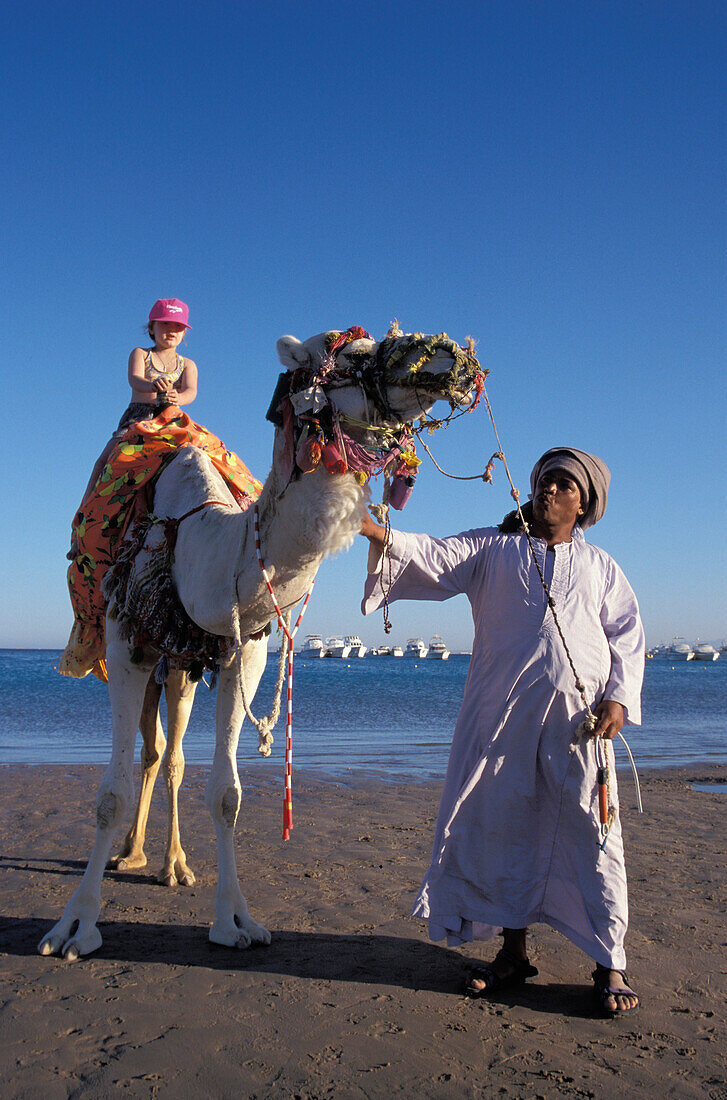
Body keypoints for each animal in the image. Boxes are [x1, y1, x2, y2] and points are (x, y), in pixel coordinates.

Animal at [39, 321, 481, 959]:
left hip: (181, 665)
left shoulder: (241, 648)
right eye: (354, 355)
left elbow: (227, 792)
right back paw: (131, 855)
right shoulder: (125, 643)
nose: (455, 357)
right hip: (147, 651)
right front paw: (75, 926)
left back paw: (169, 864)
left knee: (169, 756)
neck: (206, 543)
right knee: (151, 751)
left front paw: (235, 921)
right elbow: (109, 795)